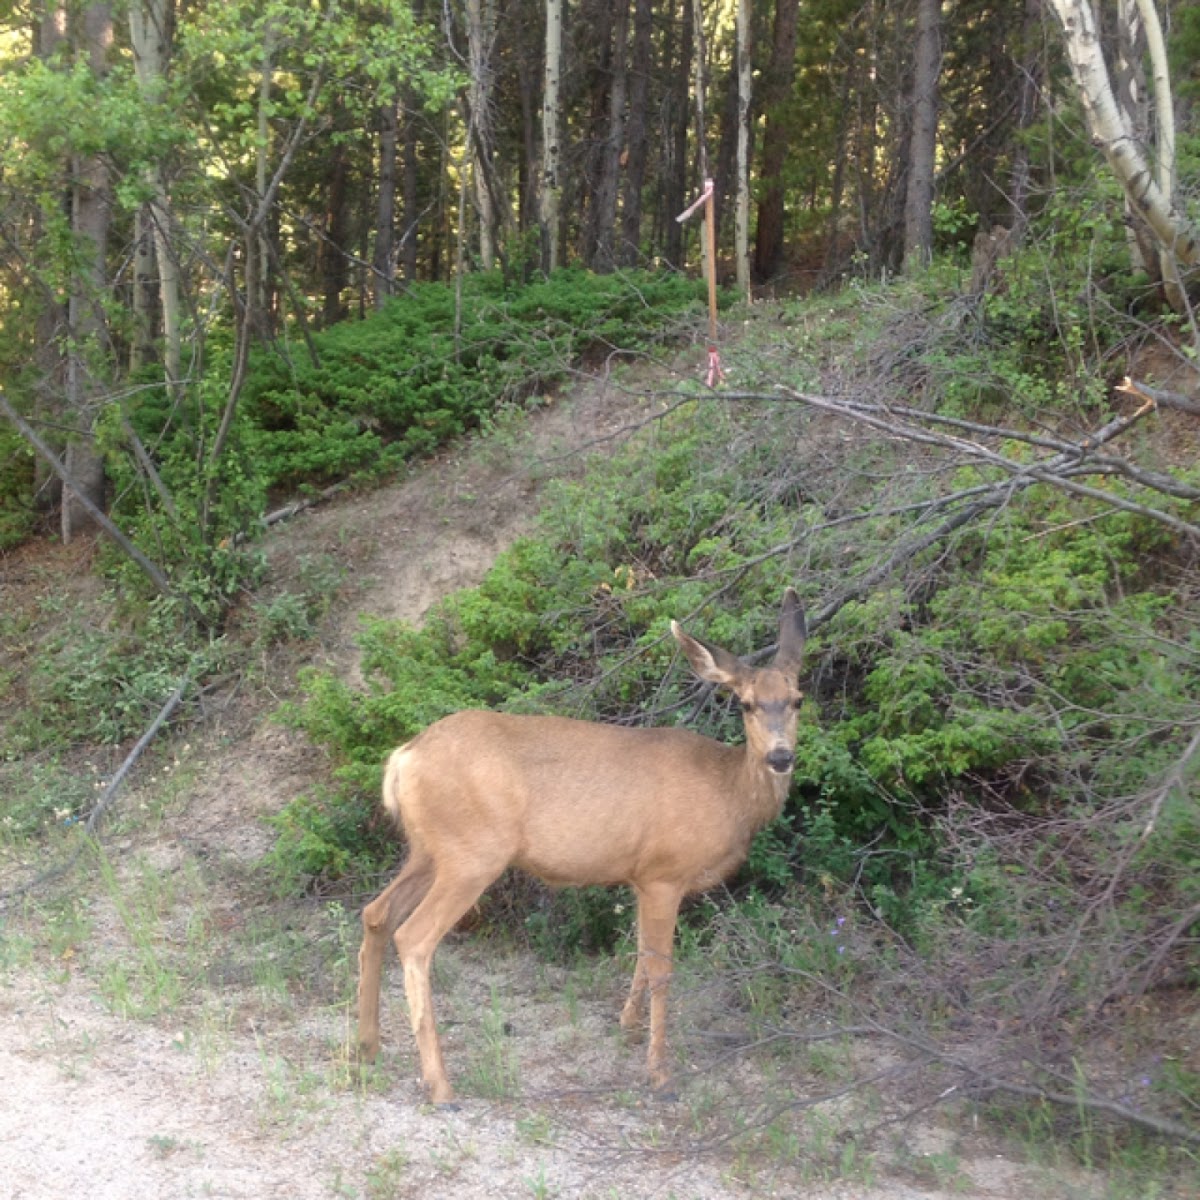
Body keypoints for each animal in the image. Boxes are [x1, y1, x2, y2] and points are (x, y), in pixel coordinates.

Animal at [352, 585, 806, 1099]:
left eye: (797, 699)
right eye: (746, 704)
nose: (781, 756)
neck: (728, 793)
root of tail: (402, 759)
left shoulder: (639, 877)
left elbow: (639, 956)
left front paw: (628, 1028)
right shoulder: (664, 873)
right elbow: (661, 969)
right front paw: (659, 1072)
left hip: (429, 850)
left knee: (376, 913)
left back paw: (367, 1050)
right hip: (472, 853)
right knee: (414, 936)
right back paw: (440, 1086)